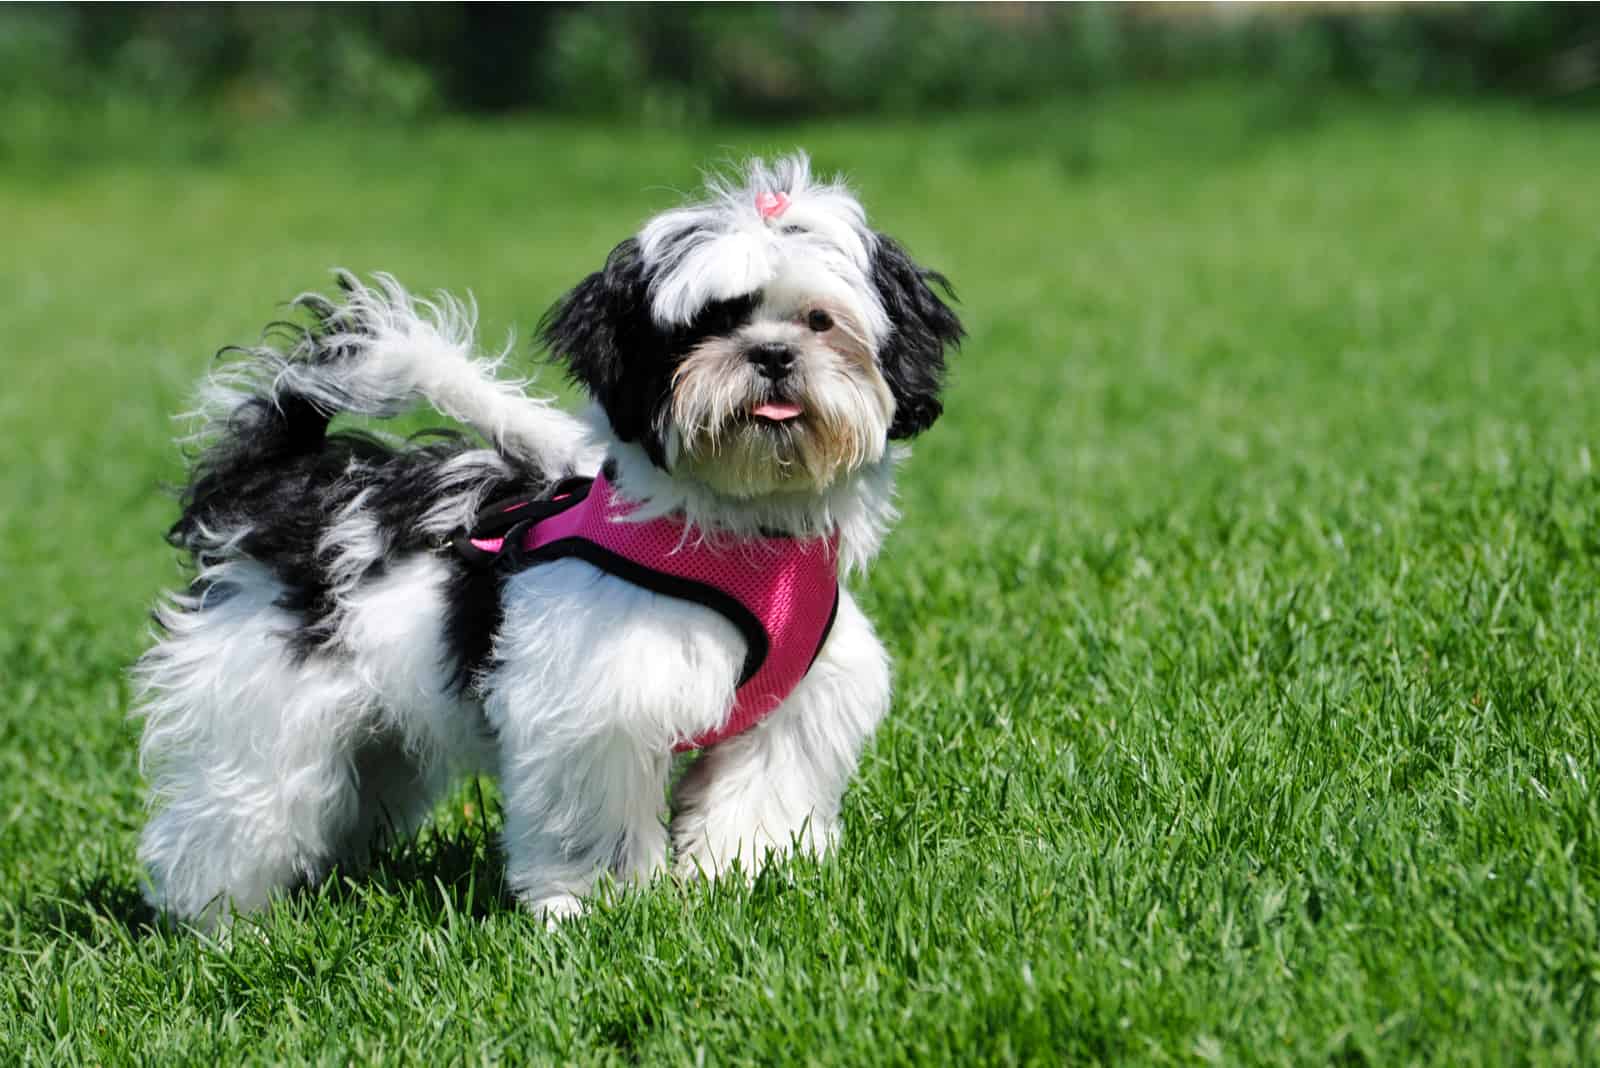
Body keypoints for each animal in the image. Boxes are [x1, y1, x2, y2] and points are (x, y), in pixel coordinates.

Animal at [134, 150, 960, 927]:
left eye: (820, 322)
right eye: (707, 325)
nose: (773, 354)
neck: (733, 531)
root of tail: (289, 481)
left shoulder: (791, 709)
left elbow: (757, 792)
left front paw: (742, 875)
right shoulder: (596, 704)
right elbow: (595, 812)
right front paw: (600, 905)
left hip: (378, 730)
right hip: (267, 702)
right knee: (241, 808)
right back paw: (225, 923)